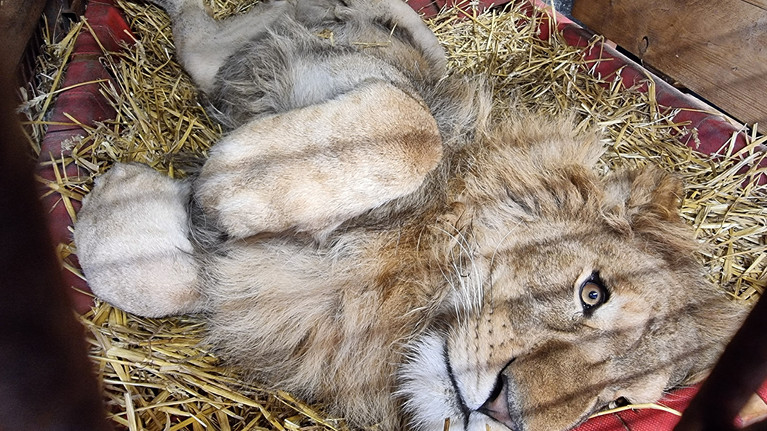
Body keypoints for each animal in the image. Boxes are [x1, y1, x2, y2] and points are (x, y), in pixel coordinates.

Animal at [73, 0, 745, 429]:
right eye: (593, 294)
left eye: (616, 402)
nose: (506, 414)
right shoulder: (322, 74)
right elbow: (411, 127)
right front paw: (203, 188)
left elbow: (168, 274)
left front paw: (129, 193)